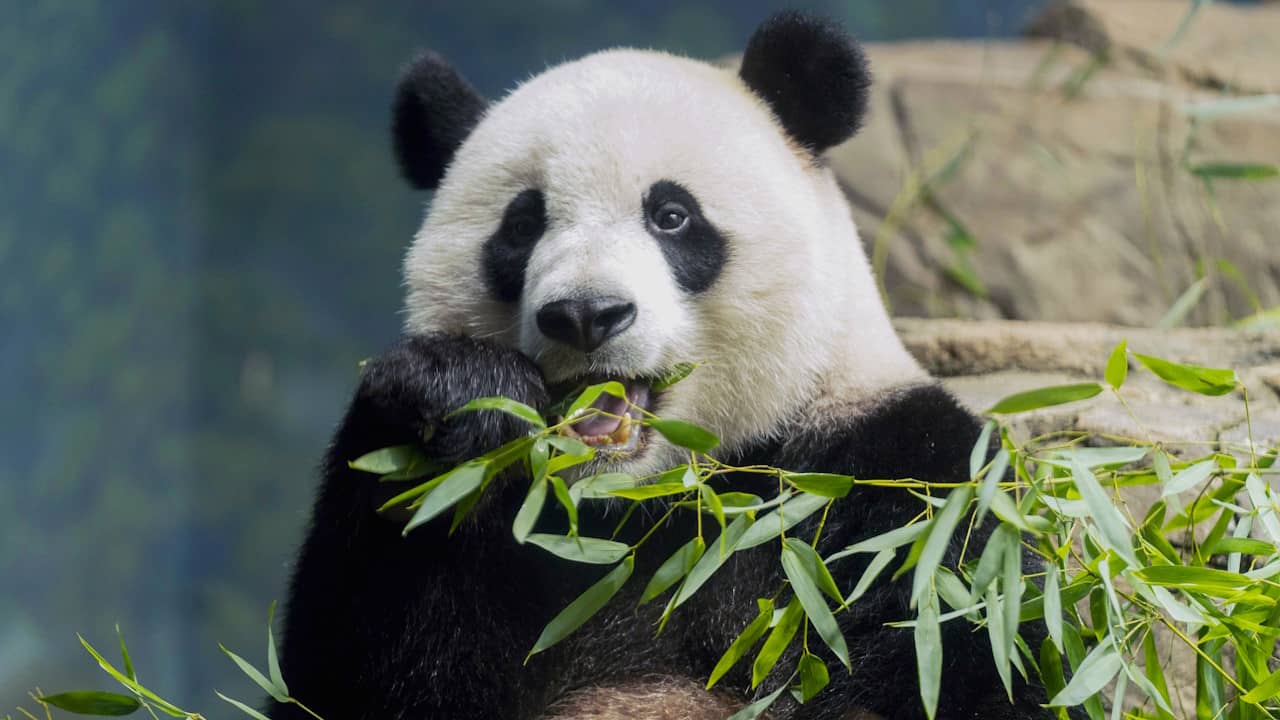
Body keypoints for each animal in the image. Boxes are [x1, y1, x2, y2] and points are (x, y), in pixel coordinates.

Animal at [271, 12, 1055, 720]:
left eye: (671, 215)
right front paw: (458, 394)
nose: (584, 313)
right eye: (522, 224)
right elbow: (361, 671)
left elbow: (972, 653)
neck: (645, 499)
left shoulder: (902, 486)